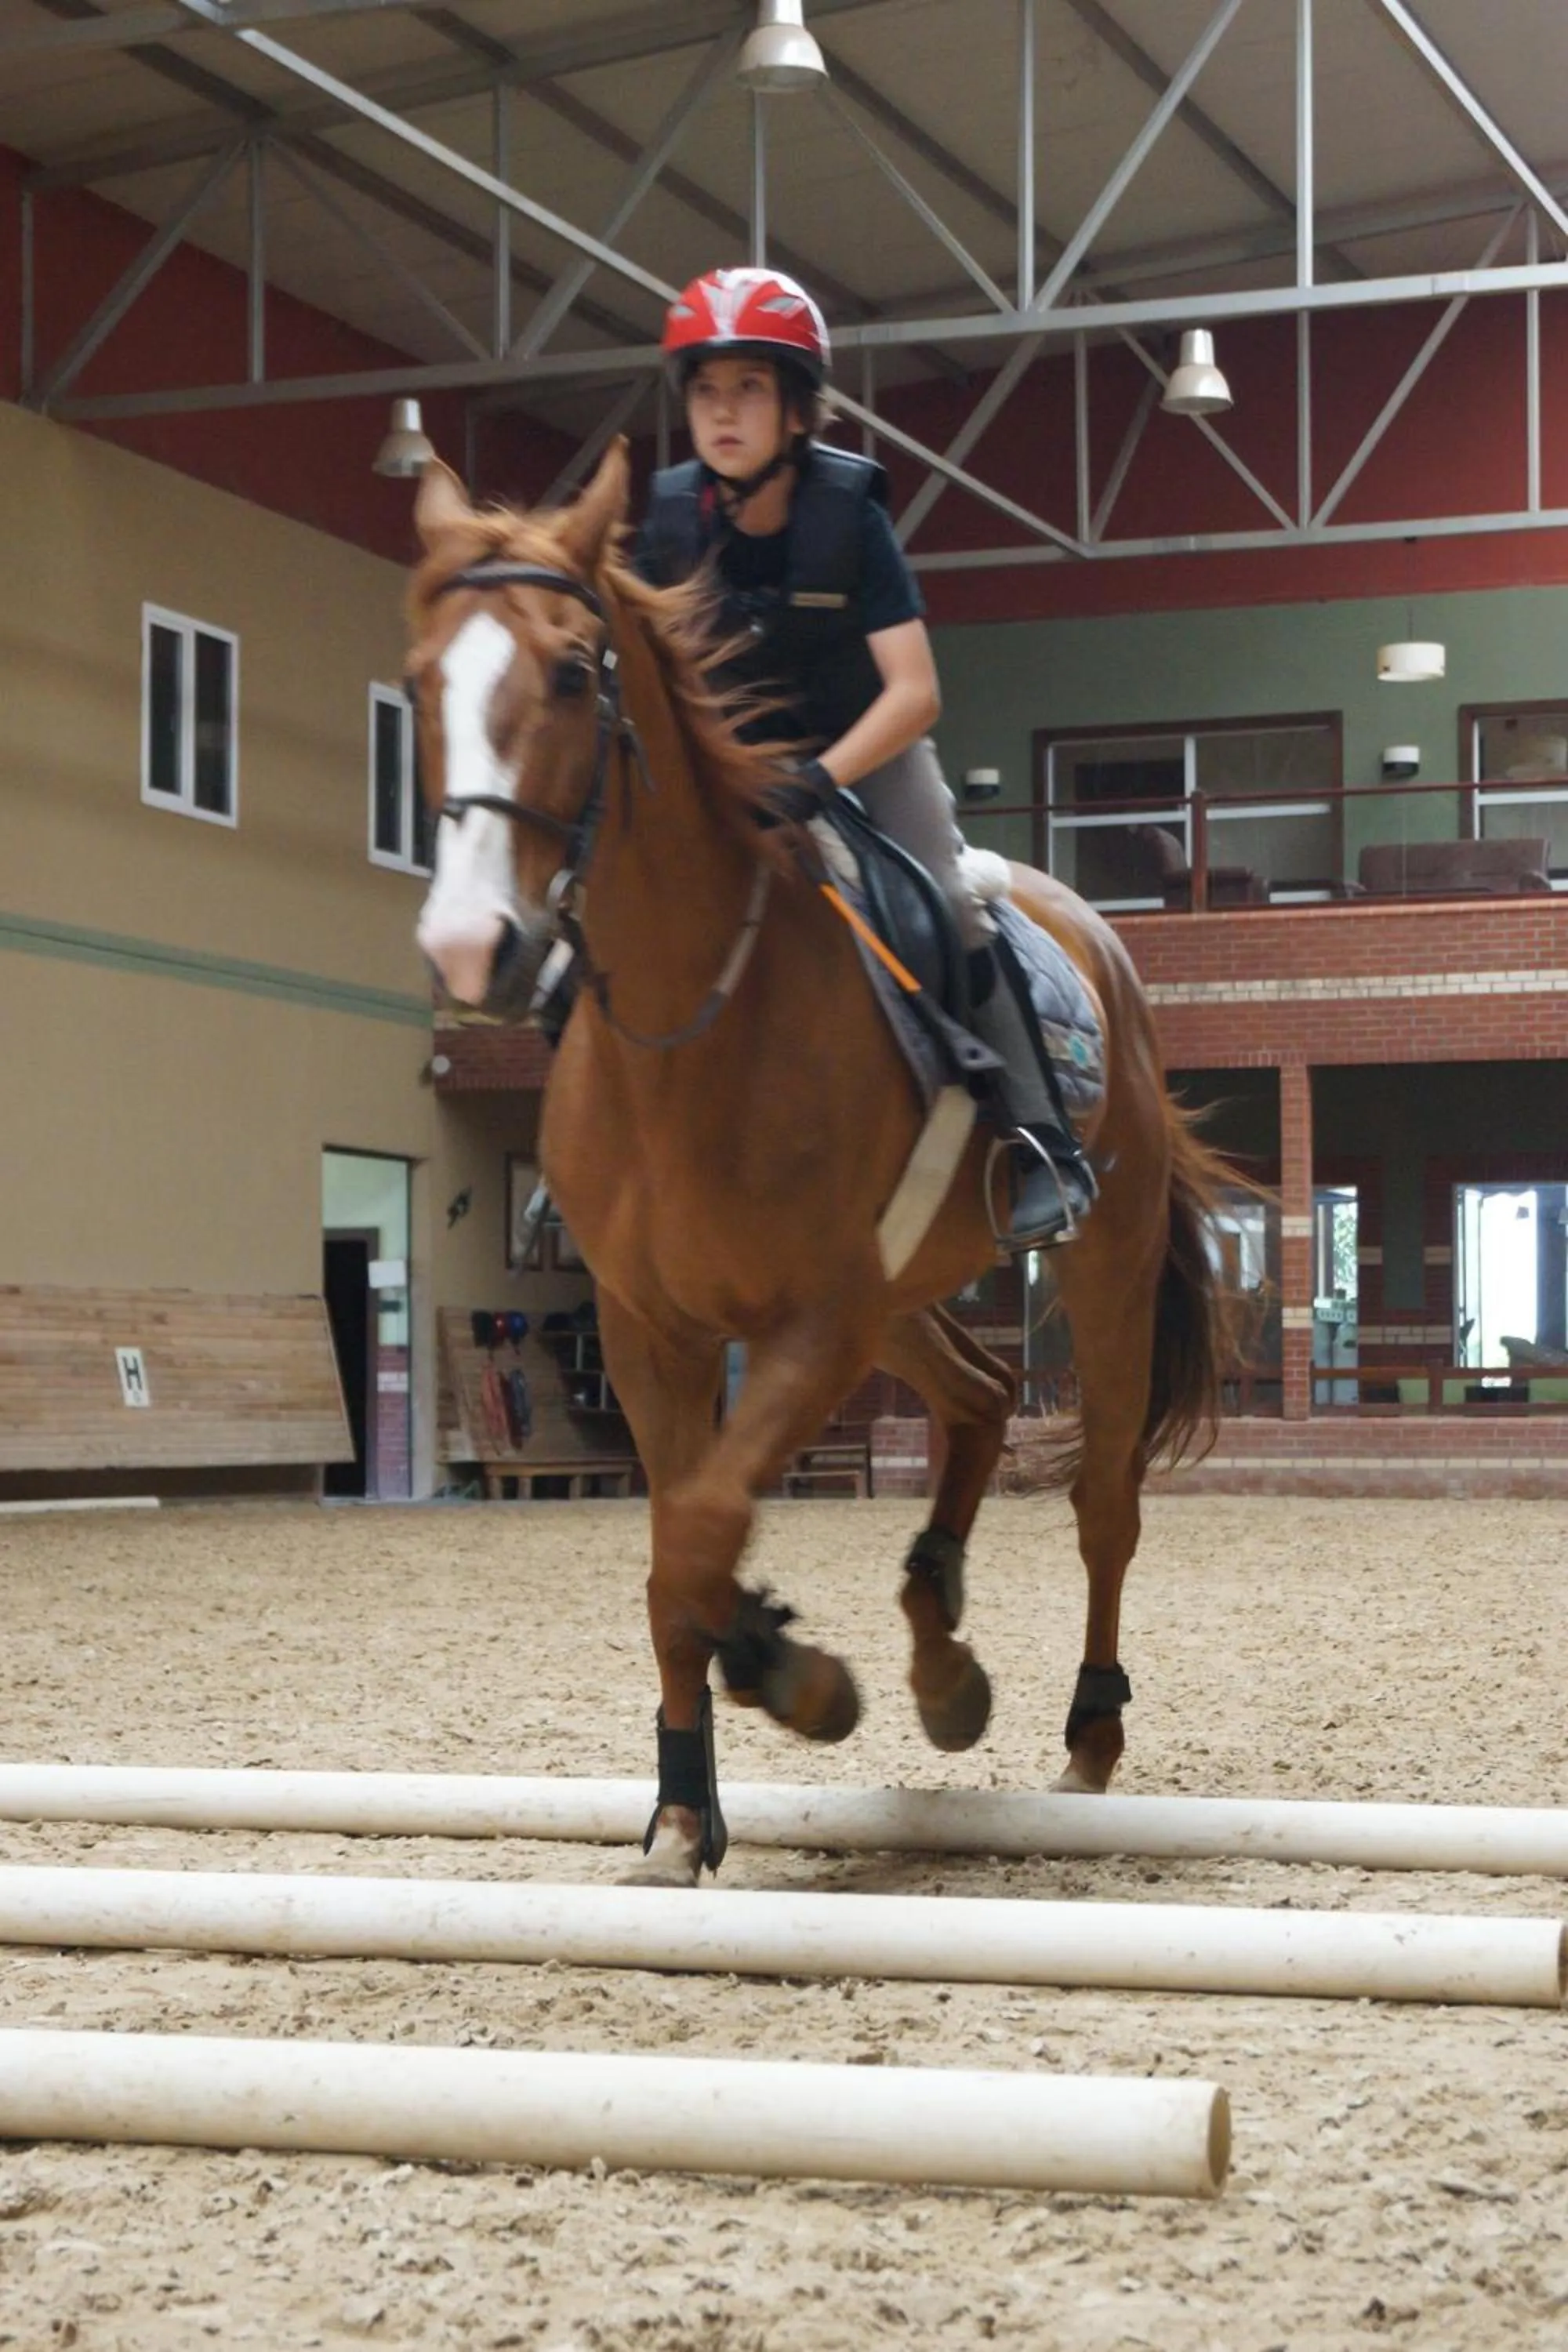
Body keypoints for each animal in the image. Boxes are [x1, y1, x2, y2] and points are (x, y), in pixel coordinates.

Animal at [408, 440, 1237, 1887]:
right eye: (417, 682)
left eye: (569, 674)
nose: (471, 950)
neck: (694, 1024)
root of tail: (1098, 935)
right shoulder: (654, 1331)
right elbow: (679, 1552)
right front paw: (687, 1807)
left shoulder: (816, 1319)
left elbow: (696, 1534)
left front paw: (803, 1683)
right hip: (902, 1296)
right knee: (978, 1395)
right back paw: (939, 1653)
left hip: (1098, 1261)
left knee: (1103, 1500)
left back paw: (1084, 1733)